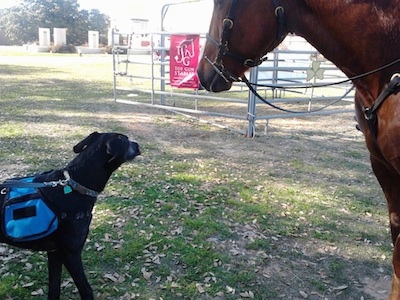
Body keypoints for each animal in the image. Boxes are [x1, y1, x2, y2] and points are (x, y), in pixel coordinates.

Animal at [0, 132, 141, 298]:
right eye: (127, 141)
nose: (138, 145)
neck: (76, 185)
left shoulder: (54, 252)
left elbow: (54, 288)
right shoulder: (71, 254)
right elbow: (85, 288)